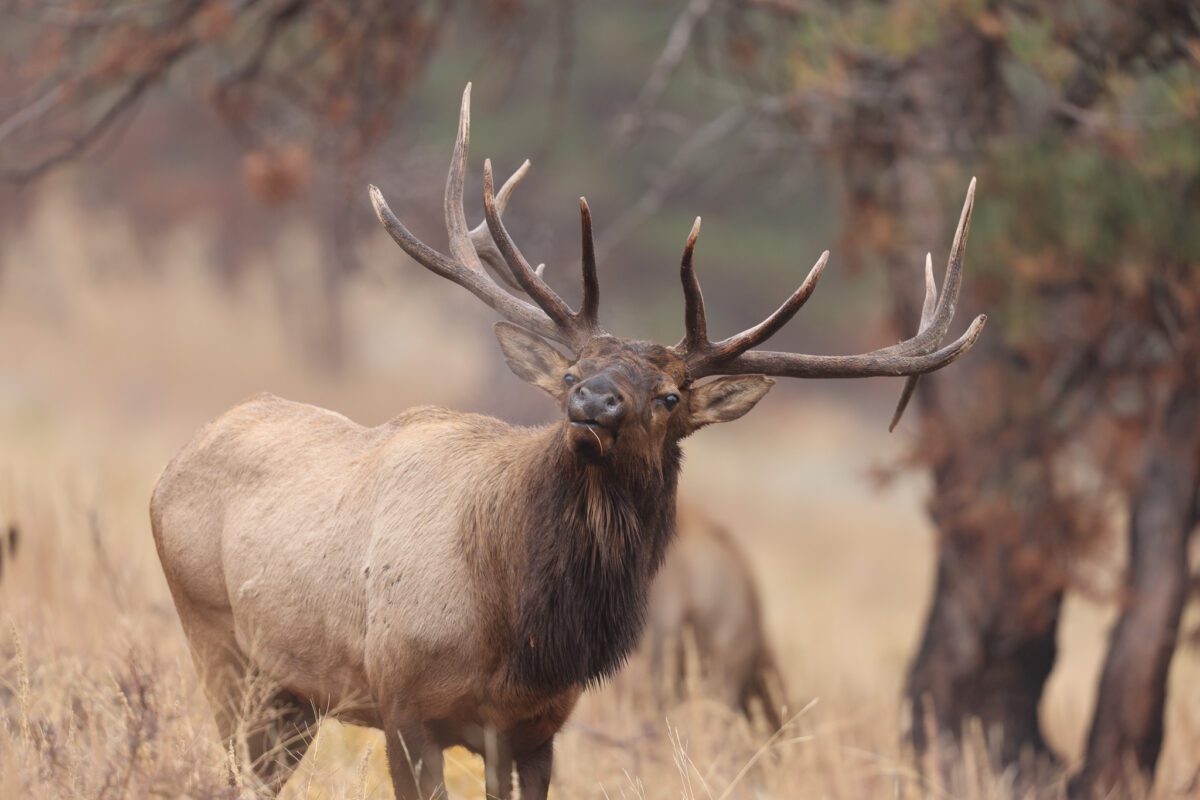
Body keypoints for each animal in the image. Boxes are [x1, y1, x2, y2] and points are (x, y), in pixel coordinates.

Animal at [150, 84, 984, 796]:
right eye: (574, 370)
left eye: (670, 396)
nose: (591, 402)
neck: (519, 630)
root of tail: (169, 470)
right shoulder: (402, 700)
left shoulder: (535, 726)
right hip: (221, 644)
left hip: (291, 690)